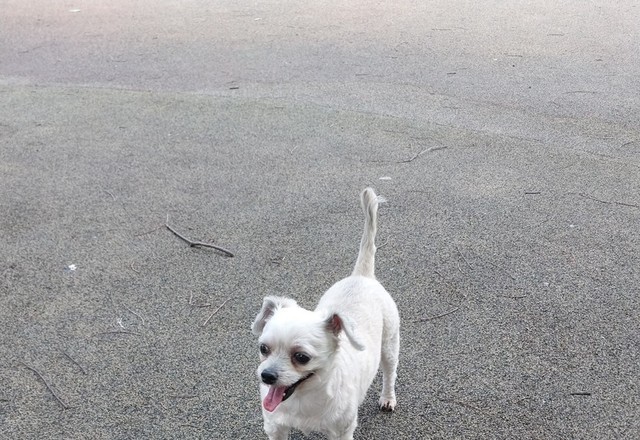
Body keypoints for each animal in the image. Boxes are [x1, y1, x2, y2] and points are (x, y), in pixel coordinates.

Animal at [251, 188, 400, 440]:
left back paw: (387, 398)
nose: (267, 376)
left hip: (389, 346)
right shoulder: (276, 427)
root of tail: (362, 276)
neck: (303, 400)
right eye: (264, 348)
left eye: (301, 357)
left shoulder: (341, 431)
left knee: (390, 373)